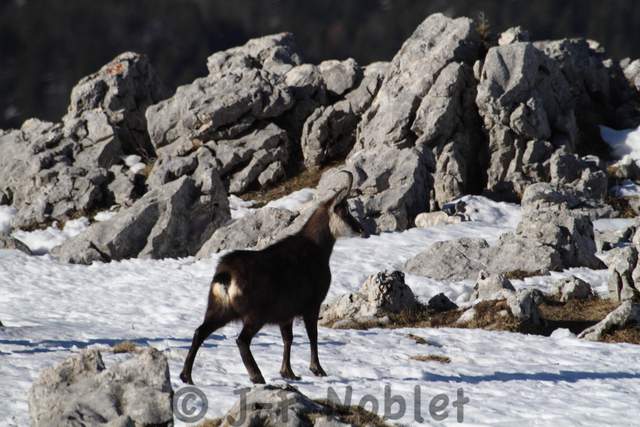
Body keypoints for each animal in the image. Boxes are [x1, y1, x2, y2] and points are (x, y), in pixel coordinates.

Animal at [180, 171, 367, 385]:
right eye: (344, 211)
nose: (361, 229)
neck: (317, 249)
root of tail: (225, 275)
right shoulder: (311, 305)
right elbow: (313, 336)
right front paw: (317, 369)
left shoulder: (285, 314)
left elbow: (288, 339)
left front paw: (288, 372)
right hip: (255, 314)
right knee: (241, 340)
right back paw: (256, 376)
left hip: (219, 309)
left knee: (199, 332)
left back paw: (186, 376)